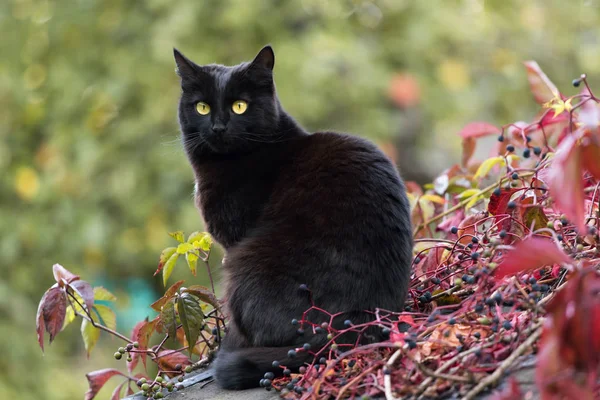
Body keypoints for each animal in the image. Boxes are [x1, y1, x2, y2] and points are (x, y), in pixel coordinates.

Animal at [171, 45, 410, 390]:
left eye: (240, 106)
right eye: (202, 107)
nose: (217, 127)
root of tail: (353, 325)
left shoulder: (234, 240)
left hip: (246, 263)